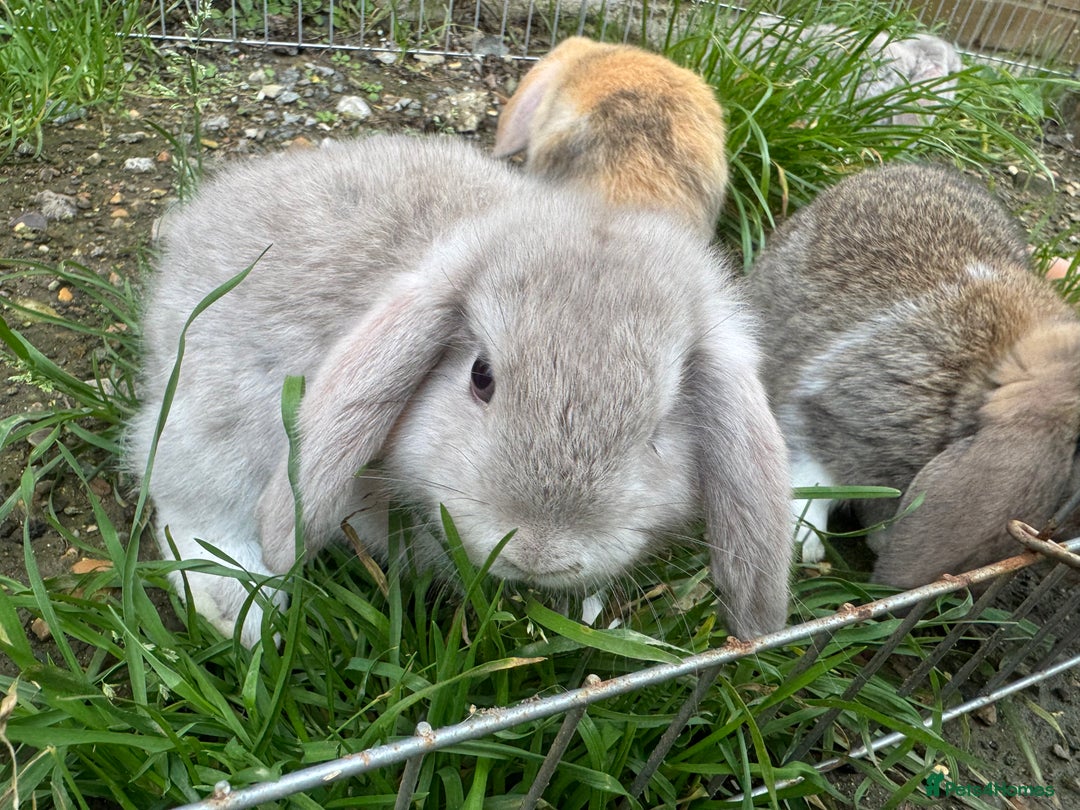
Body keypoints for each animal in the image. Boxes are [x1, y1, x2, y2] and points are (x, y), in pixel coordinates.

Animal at [124, 134, 793, 646]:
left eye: (660, 426)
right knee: (191, 511)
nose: (539, 553)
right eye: (481, 376)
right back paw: (243, 617)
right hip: (219, 423)